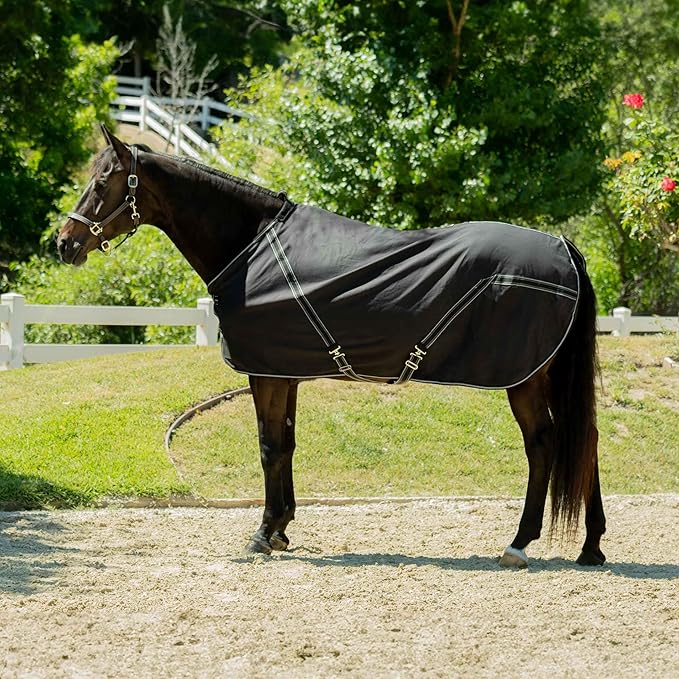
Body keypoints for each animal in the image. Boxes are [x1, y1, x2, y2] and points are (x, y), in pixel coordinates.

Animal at [57, 126, 606, 567]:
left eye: (102, 182)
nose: (63, 243)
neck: (250, 246)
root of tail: (564, 248)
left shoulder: (265, 373)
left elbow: (268, 447)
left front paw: (262, 534)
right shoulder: (285, 372)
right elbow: (287, 445)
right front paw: (281, 528)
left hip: (526, 377)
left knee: (543, 445)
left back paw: (521, 542)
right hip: (545, 374)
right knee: (583, 440)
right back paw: (591, 546)